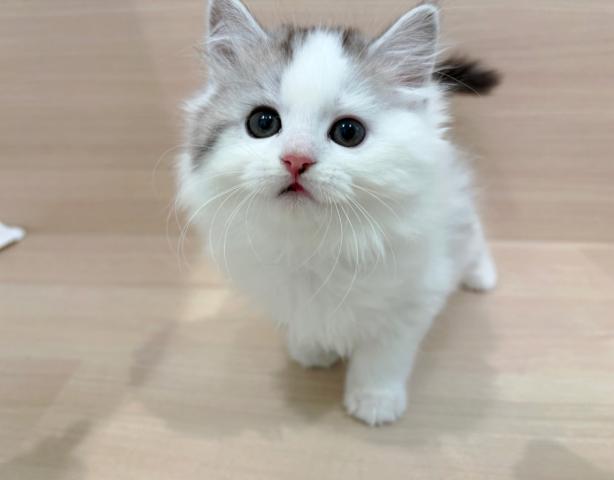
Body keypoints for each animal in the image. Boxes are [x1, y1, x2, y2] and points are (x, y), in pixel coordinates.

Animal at [177, 0, 499, 426]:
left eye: (348, 132)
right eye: (263, 123)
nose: (296, 160)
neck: (314, 244)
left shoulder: (412, 299)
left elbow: (383, 357)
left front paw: (375, 401)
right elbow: (304, 325)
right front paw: (313, 352)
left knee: (474, 232)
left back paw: (481, 277)